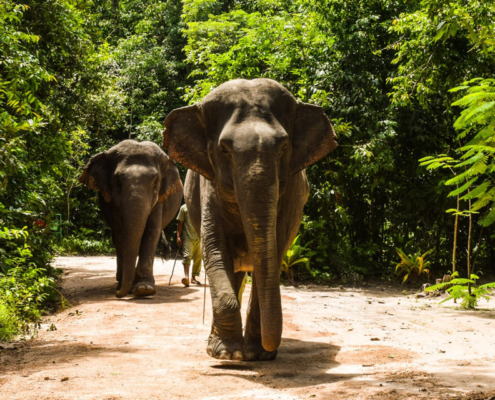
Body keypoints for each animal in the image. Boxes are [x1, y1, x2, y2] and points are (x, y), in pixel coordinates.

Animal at [78, 139, 183, 298]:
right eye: (117, 181)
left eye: (155, 182)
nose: (117, 294)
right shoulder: (113, 203)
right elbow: (121, 233)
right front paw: (125, 286)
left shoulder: (159, 200)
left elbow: (152, 232)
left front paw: (144, 289)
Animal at [163, 77, 338, 360]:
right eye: (224, 150)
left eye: (284, 148)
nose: (270, 348)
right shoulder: (209, 186)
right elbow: (215, 247)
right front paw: (229, 355)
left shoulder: (290, 196)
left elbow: (275, 252)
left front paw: (258, 354)